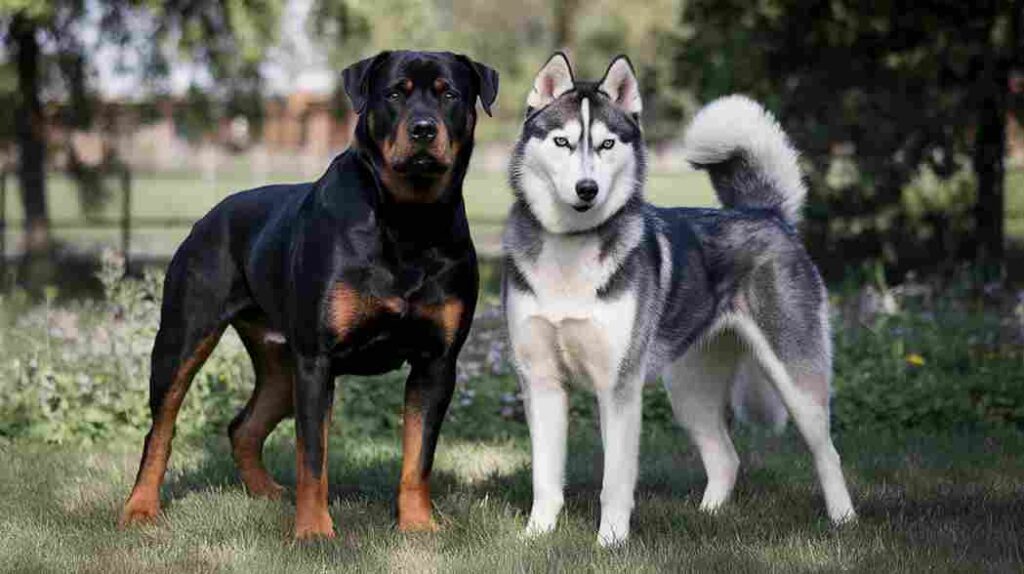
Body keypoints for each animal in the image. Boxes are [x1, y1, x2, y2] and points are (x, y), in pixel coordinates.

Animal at [117, 51, 497, 540]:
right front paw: (314, 531)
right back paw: (141, 507)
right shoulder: (318, 360)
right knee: (161, 428)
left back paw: (266, 493)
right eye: (395, 93)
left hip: (281, 363)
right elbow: (313, 456)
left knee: (244, 427)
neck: (407, 219)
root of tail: (209, 216)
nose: (423, 129)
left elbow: (418, 456)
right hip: (184, 338)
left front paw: (417, 525)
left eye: (449, 94)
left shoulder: (436, 362)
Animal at [503, 53, 856, 544]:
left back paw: (844, 519)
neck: (569, 251)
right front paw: (537, 534)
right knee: (726, 457)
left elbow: (615, 480)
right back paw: (708, 515)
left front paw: (610, 541)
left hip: (796, 382)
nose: (587, 189)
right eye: (562, 141)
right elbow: (545, 476)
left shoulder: (619, 388)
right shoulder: (541, 383)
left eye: (607, 144)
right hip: (688, 391)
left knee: (828, 453)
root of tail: (766, 213)